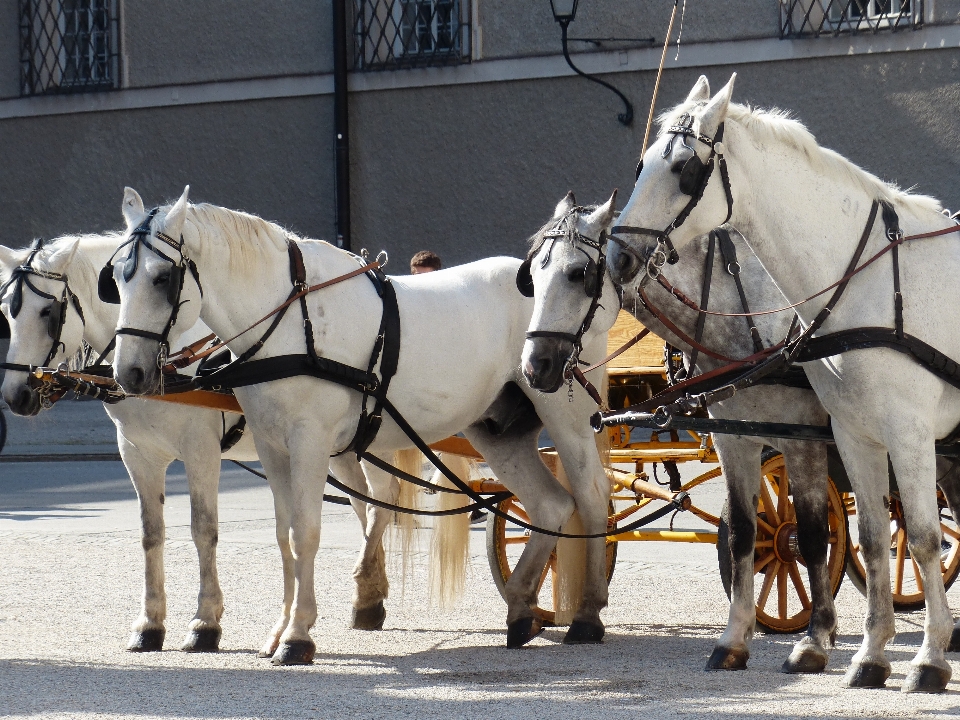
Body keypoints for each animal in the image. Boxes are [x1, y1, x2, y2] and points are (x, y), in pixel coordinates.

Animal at [107, 187, 616, 664]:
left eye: (162, 277)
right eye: (115, 279)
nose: (129, 373)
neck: (290, 318)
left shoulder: (308, 442)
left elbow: (305, 532)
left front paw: (297, 635)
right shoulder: (273, 446)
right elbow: (283, 535)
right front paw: (279, 629)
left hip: (565, 414)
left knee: (591, 496)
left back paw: (587, 615)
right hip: (496, 429)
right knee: (551, 505)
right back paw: (521, 607)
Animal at [612, 73, 960, 692]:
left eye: (685, 169)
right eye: (641, 164)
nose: (619, 255)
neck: (864, 281)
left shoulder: (909, 435)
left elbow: (920, 536)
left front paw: (929, 659)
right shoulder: (853, 433)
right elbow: (873, 540)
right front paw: (871, 655)